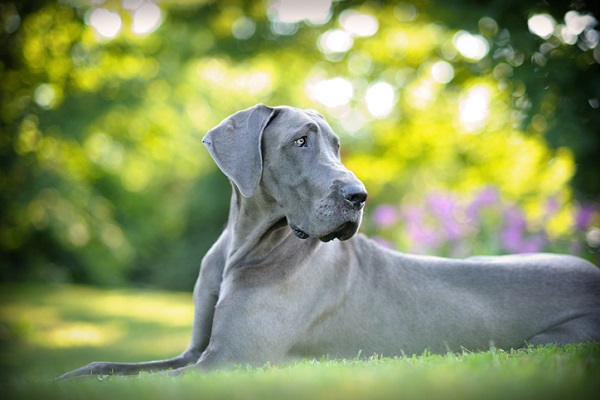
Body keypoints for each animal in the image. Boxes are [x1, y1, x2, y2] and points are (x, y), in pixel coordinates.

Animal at [58, 103, 600, 378]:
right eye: (300, 141)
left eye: (337, 145)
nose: (359, 196)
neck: (244, 247)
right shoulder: (195, 353)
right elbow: (104, 367)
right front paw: (66, 376)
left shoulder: (226, 362)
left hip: (543, 342)